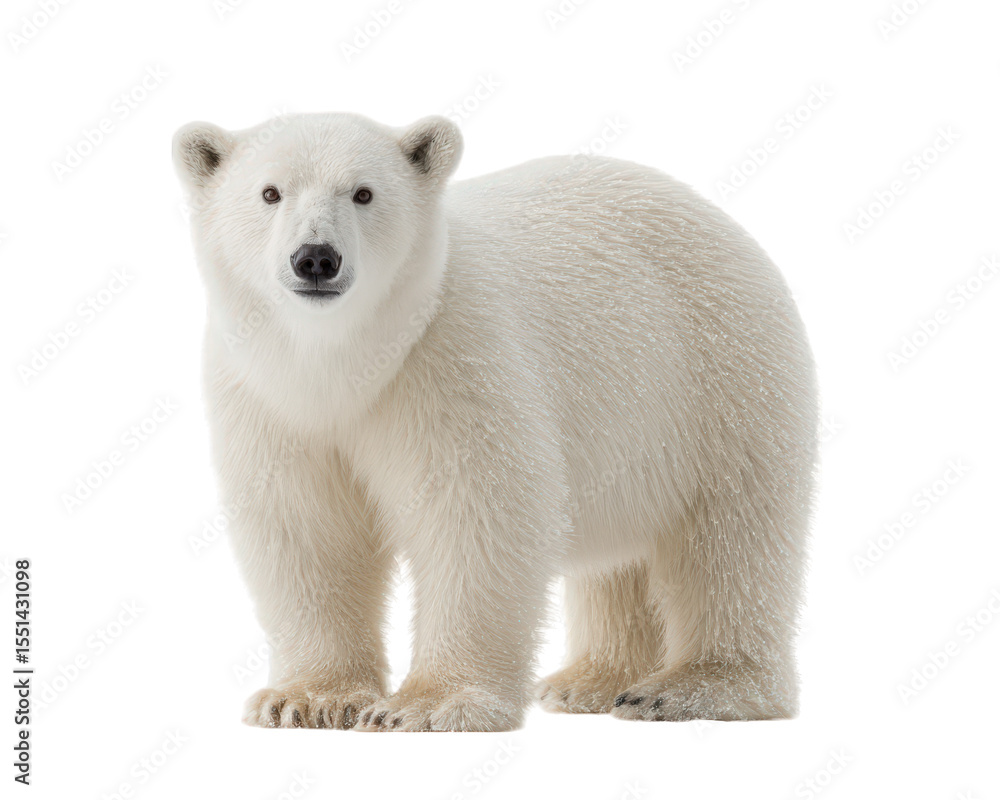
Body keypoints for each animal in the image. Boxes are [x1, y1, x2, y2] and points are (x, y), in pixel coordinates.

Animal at [172, 111, 818, 732]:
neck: (346, 360)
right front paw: (306, 701)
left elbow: (478, 512)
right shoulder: (266, 399)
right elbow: (308, 527)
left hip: (717, 376)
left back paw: (689, 688)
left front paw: (425, 706)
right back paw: (590, 682)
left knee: (729, 534)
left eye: (363, 192)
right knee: (620, 557)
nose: (315, 258)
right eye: (270, 192)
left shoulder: (452, 358)